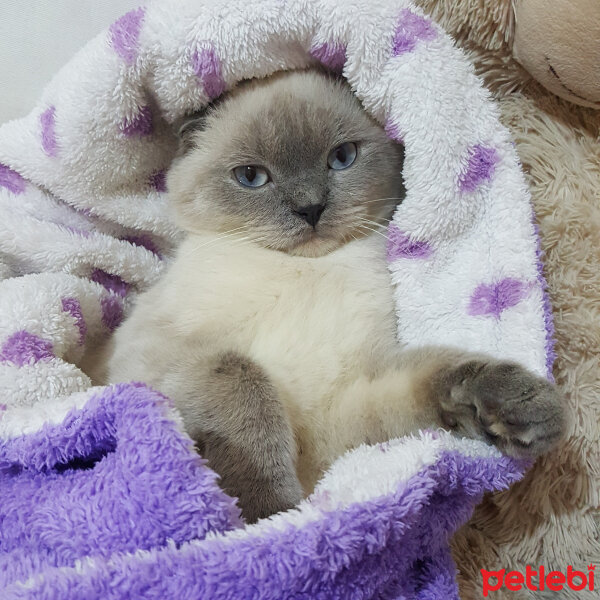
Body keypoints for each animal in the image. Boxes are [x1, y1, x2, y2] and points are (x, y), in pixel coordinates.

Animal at [101, 68, 564, 524]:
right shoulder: (162, 352)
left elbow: (438, 373)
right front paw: (269, 521)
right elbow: (244, 382)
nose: (310, 209)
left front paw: (525, 411)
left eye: (342, 158)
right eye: (251, 177)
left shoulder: (348, 405)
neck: (306, 271)